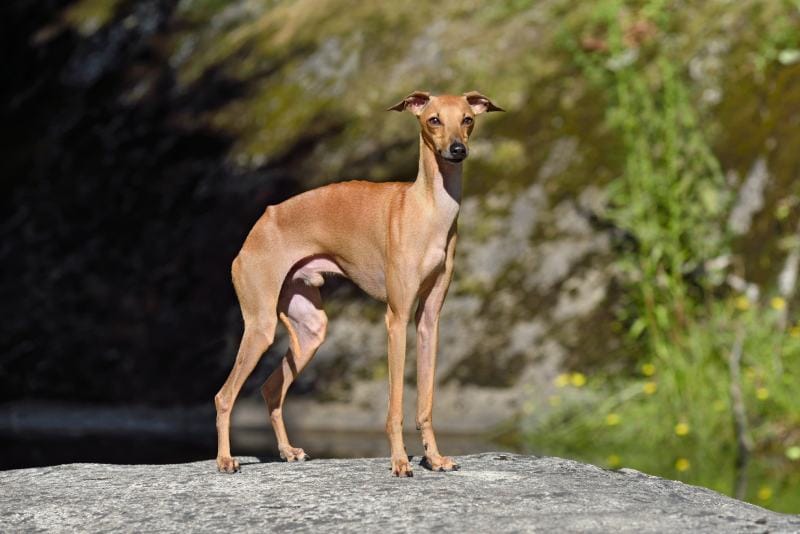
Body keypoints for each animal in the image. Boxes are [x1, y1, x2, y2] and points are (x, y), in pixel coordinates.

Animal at [212, 91, 500, 478]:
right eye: (434, 120)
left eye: (467, 119)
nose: (457, 150)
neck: (426, 209)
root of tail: (260, 224)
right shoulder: (396, 319)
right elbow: (395, 405)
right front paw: (400, 461)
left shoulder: (428, 321)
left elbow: (425, 401)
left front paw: (435, 458)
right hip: (261, 324)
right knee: (224, 395)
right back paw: (225, 460)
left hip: (309, 328)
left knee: (271, 388)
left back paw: (288, 451)